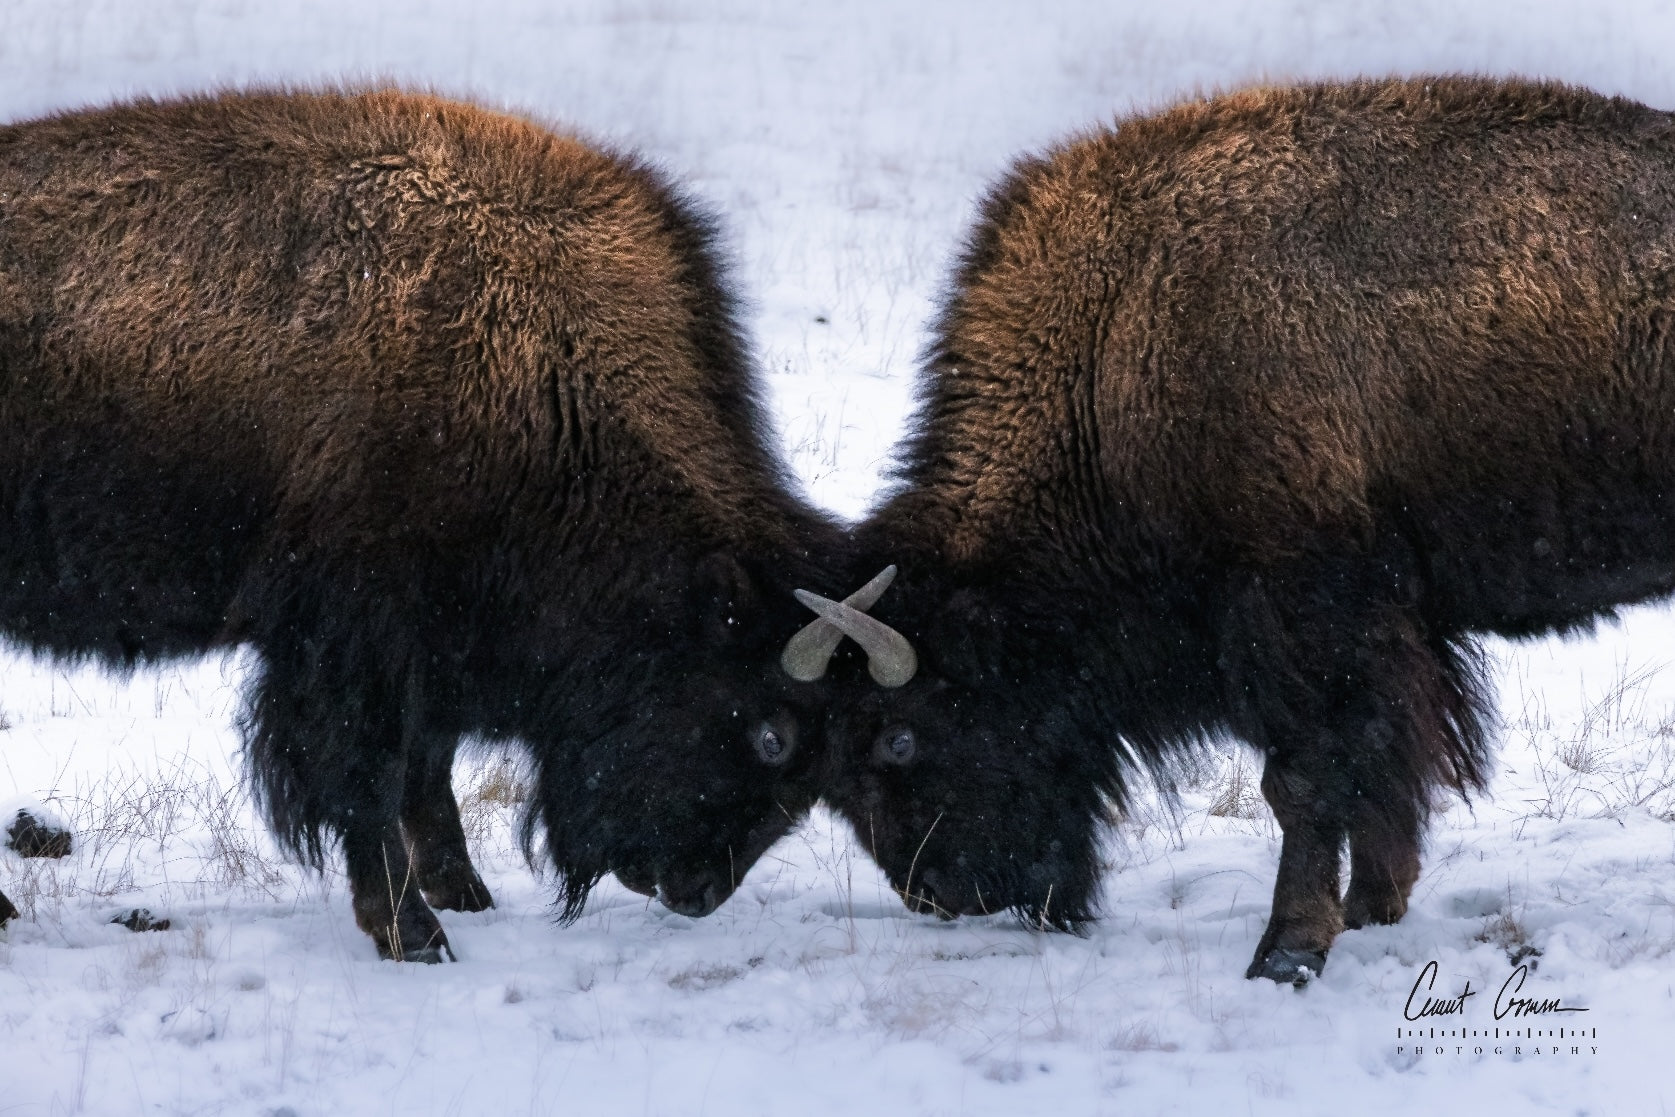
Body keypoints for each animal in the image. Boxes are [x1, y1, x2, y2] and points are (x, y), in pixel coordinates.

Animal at [0, 89, 846, 960]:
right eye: (772, 733)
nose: (697, 891)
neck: (538, 358)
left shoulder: (428, 642)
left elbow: (424, 767)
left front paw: (462, 891)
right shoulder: (357, 640)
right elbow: (367, 773)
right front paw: (415, 932)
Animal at [808, 76, 1675, 982]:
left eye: (898, 739)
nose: (937, 894)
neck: (1119, 335)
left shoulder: (1301, 615)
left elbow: (1307, 780)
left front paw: (1286, 951)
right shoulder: (1390, 634)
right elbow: (1383, 771)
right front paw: (1370, 908)